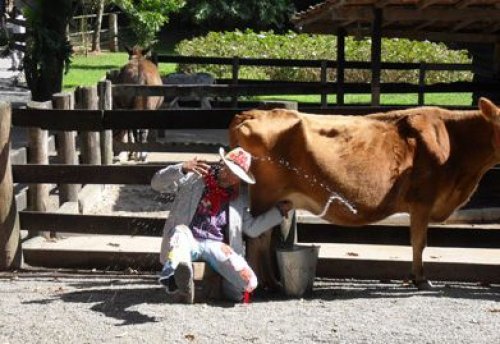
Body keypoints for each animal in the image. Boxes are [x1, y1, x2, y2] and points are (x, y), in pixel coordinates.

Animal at [229, 97, 500, 290]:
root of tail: (254, 113)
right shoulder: (422, 200)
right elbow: (419, 242)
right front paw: (420, 279)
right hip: (264, 193)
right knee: (257, 238)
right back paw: (265, 283)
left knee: (261, 236)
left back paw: (271, 282)